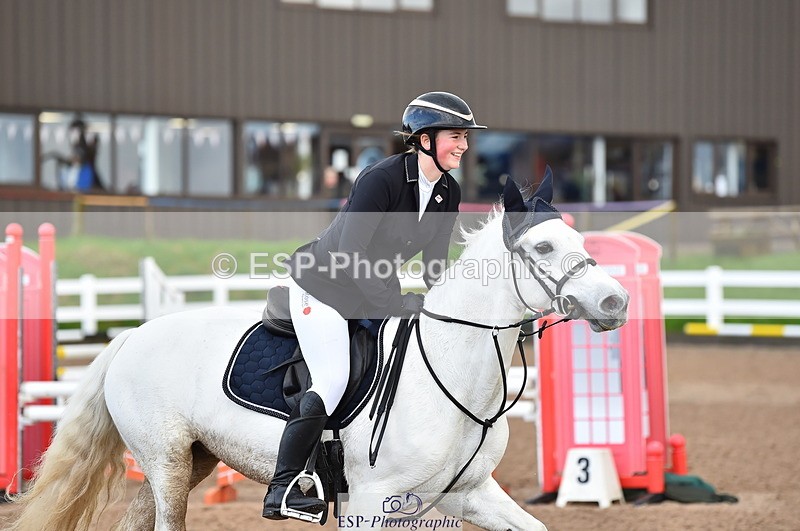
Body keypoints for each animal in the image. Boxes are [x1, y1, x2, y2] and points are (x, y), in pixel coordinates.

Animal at [8, 176, 629, 531]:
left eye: (579, 240)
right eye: (543, 246)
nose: (616, 301)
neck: (452, 371)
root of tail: (134, 335)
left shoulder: (468, 494)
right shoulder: (372, 503)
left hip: (192, 458)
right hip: (165, 461)